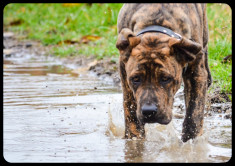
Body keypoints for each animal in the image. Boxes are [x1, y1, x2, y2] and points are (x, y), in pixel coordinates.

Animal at [115, 3, 211, 142]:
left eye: (165, 78)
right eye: (135, 79)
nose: (149, 112)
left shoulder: (196, 74)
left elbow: (194, 113)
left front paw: (191, 140)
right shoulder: (125, 76)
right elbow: (131, 112)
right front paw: (134, 140)